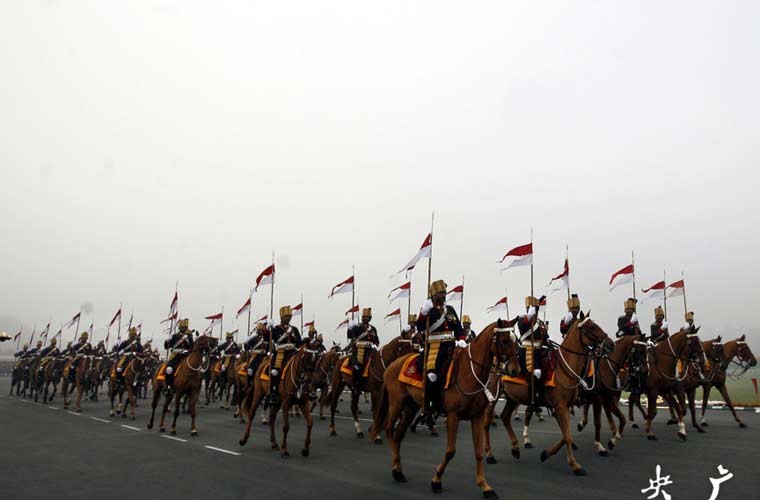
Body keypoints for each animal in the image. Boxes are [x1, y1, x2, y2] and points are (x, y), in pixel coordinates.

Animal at [372, 318, 520, 498]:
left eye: (516, 341)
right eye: (505, 340)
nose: (515, 370)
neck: (468, 372)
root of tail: (393, 364)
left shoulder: (476, 417)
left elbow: (478, 452)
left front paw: (485, 486)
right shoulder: (453, 416)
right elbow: (450, 451)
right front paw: (436, 480)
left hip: (411, 407)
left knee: (398, 434)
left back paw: (398, 470)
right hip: (396, 403)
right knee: (389, 429)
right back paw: (396, 469)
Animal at [498, 314, 616, 474]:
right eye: (592, 327)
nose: (611, 344)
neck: (565, 368)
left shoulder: (564, 406)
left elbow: (566, 434)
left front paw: (546, 454)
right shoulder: (562, 406)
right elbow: (568, 435)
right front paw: (575, 465)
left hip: (512, 399)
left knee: (505, 417)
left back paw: (515, 449)